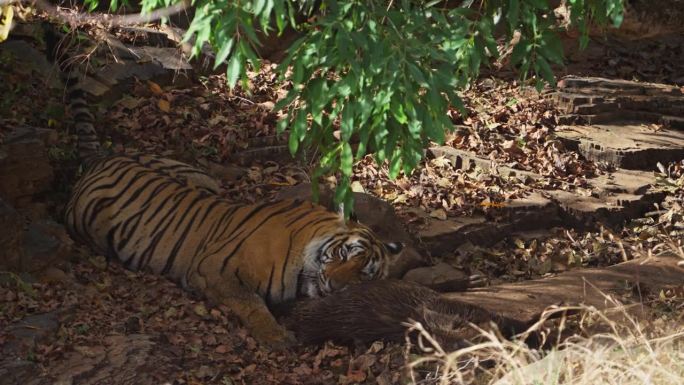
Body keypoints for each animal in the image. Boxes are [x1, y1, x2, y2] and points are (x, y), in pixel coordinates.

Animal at [48, 21, 404, 344]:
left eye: (364, 275)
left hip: (197, 177)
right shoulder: (215, 268)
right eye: (344, 254)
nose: (334, 287)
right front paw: (276, 337)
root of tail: (102, 158)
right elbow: (251, 303)